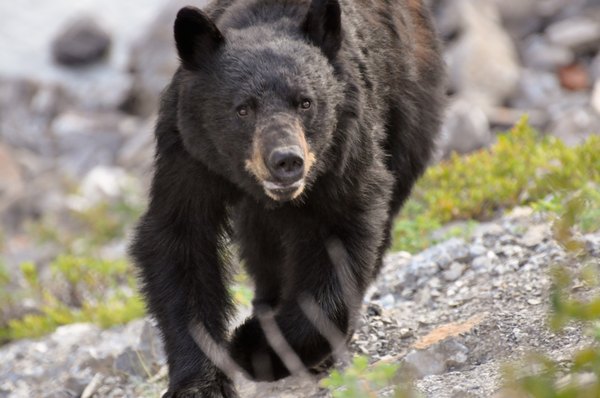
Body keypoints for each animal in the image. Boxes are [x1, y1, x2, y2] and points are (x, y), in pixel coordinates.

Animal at [129, 0, 442, 394]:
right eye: (243, 108)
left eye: (305, 102)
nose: (286, 160)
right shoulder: (188, 152)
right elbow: (179, 242)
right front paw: (200, 383)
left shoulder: (344, 147)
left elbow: (342, 238)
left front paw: (258, 347)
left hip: (407, 104)